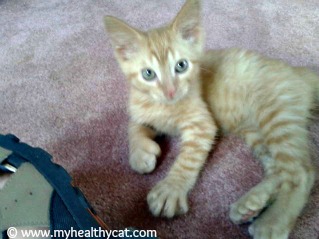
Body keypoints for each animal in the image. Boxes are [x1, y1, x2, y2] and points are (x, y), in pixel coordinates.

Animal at [104, 0, 318, 239]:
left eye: (181, 65)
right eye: (148, 74)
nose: (170, 91)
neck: (164, 107)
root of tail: (298, 72)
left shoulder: (203, 124)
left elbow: (188, 159)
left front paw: (172, 188)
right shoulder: (140, 107)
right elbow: (134, 124)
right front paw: (140, 153)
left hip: (276, 117)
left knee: (302, 172)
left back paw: (274, 222)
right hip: (255, 130)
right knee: (278, 170)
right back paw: (252, 203)